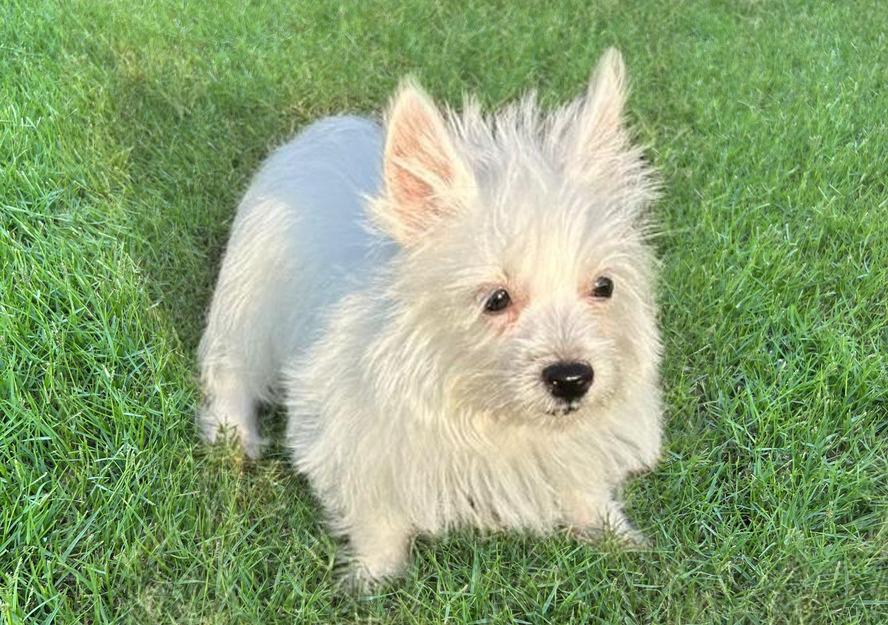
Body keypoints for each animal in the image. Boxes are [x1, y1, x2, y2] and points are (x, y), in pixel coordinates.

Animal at [198, 48, 664, 584]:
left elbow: (583, 483)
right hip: (246, 305)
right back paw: (234, 438)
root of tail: (324, 127)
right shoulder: (356, 437)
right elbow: (377, 515)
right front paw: (374, 579)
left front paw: (619, 538)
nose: (571, 379)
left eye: (604, 287)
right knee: (232, 374)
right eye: (496, 299)